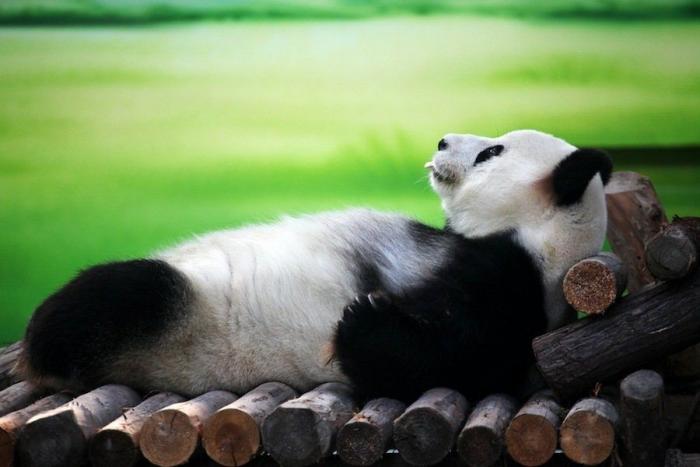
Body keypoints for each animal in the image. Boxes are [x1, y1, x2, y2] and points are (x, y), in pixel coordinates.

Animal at [18, 129, 612, 403]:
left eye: (492, 153)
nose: (442, 139)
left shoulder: (514, 291)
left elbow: (440, 362)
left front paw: (363, 315)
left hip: (179, 321)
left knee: (118, 295)